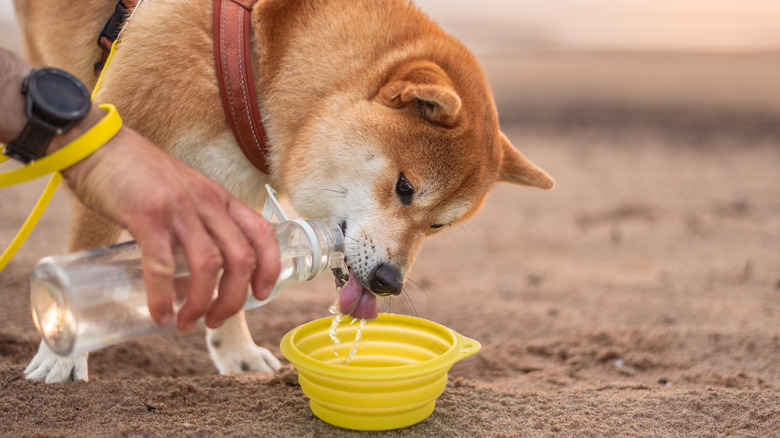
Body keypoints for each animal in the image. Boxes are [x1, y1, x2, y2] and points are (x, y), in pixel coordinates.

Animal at [10, 0, 548, 384]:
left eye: (437, 225)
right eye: (405, 187)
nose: (390, 282)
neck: (261, 62)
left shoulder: (232, 184)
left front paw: (237, 352)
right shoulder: (112, 143)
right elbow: (87, 244)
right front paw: (62, 352)